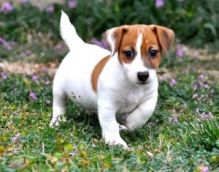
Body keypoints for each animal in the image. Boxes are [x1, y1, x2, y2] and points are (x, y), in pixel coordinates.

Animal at [50, 11, 175, 149]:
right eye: (128, 53)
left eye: (153, 52)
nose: (143, 75)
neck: (132, 85)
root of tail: (79, 46)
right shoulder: (107, 105)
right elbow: (110, 124)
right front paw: (115, 141)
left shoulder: (150, 98)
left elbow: (144, 112)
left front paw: (129, 124)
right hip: (59, 88)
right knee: (59, 105)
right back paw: (57, 121)